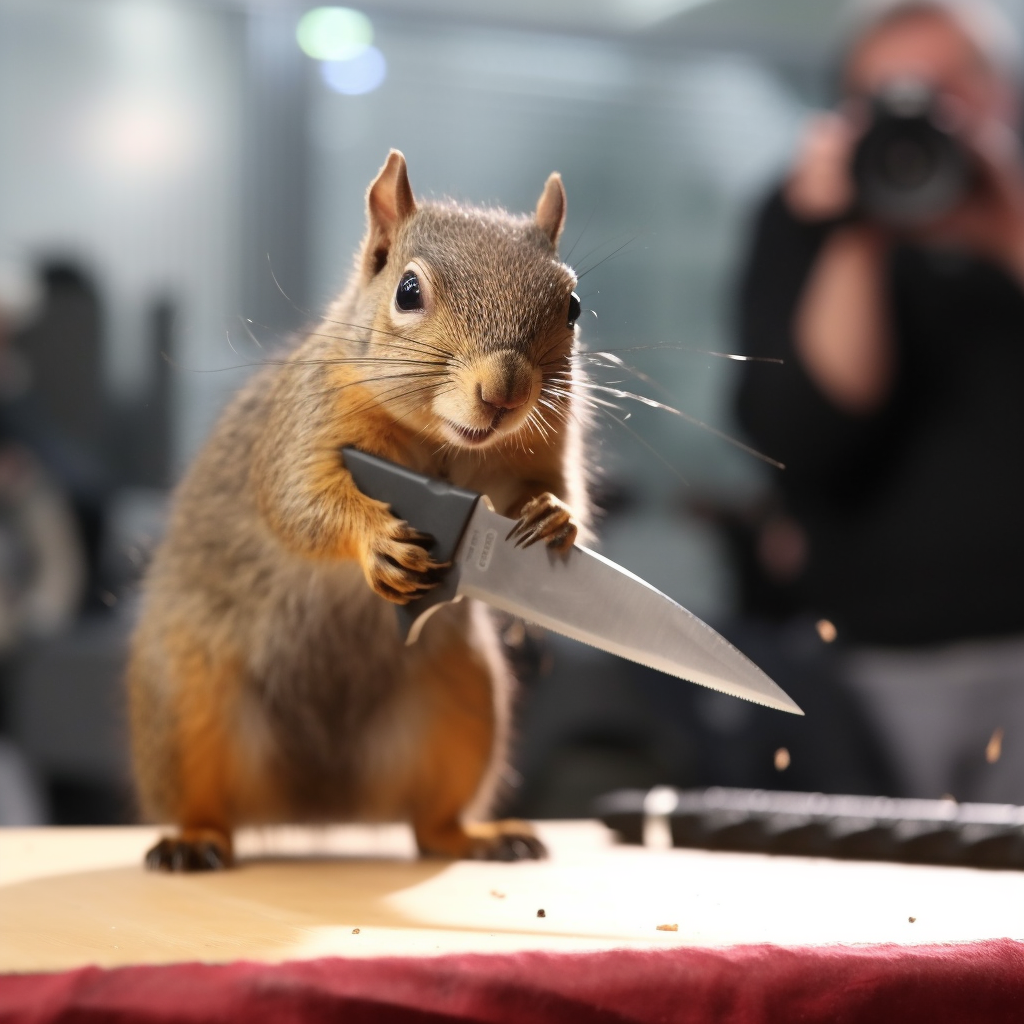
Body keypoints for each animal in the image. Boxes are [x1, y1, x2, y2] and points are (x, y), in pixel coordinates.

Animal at [129, 153, 593, 872]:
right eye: (407, 291)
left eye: (571, 305)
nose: (505, 391)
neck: (442, 447)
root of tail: (319, 804)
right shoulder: (310, 421)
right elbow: (298, 499)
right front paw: (378, 540)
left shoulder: (546, 440)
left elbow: (559, 488)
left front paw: (554, 515)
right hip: (184, 700)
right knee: (207, 802)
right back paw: (193, 840)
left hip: (463, 706)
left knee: (431, 824)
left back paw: (479, 837)